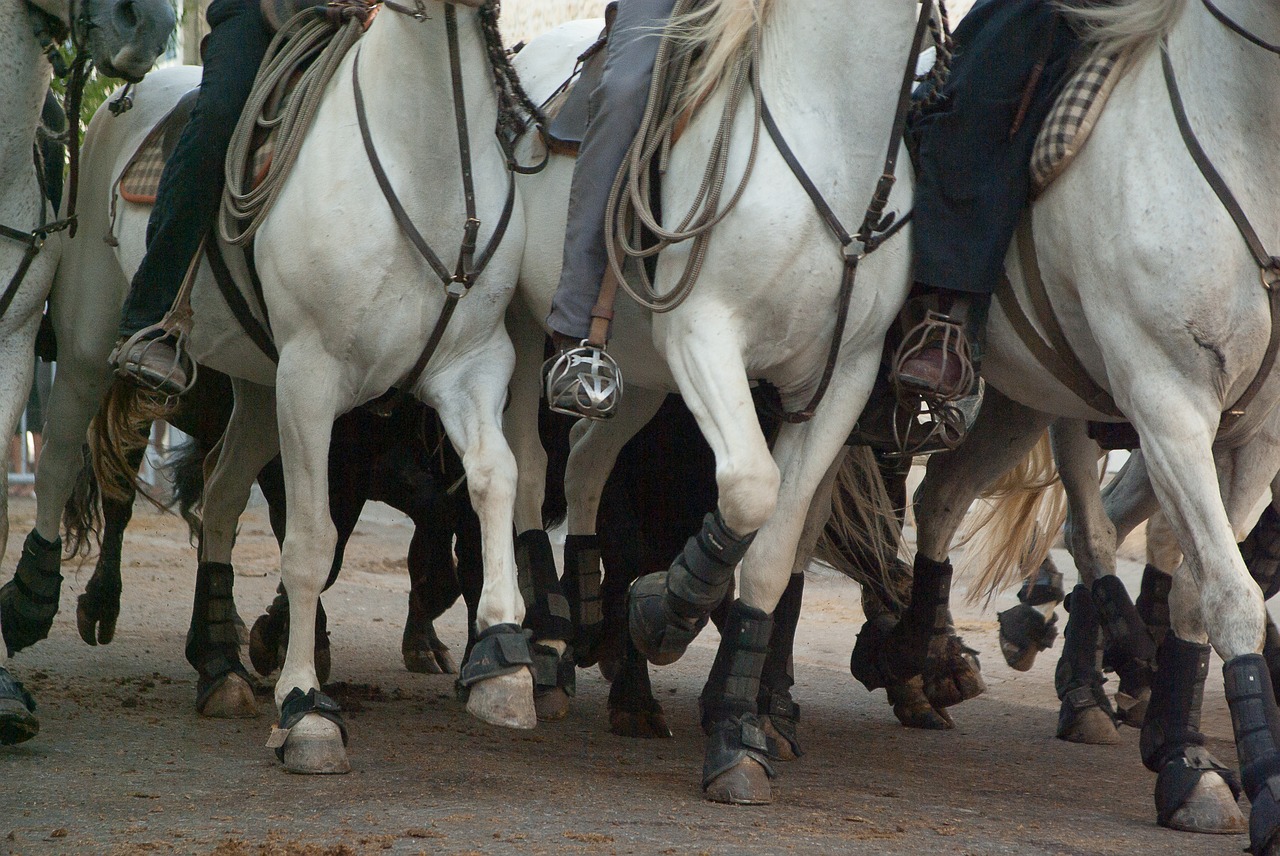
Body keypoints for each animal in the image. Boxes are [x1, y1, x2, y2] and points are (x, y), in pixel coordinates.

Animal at [80, 0, 532, 772]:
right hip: (90, 351)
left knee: (222, 496)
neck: (426, 155)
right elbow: (313, 543)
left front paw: (504, 663)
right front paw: (305, 709)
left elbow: (492, 482)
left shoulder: (471, 368)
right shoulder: (314, 380)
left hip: (261, 394)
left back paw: (220, 670)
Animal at [504, 0, 926, 803]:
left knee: (584, 463)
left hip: (640, 379)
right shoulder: (705, 334)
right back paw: (541, 641)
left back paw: (586, 600)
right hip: (512, 329)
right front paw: (660, 612)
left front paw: (736, 730)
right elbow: (752, 489)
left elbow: (774, 545)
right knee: (523, 463)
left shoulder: (840, 381)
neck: (831, 120)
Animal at [911, 0, 1280, 839]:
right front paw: (1259, 785)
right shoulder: (1167, 405)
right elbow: (1233, 593)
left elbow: (1198, 591)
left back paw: (925, 657)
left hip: (1021, 402)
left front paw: (1187, 760)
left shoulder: (1256, 438)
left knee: (945, 496)